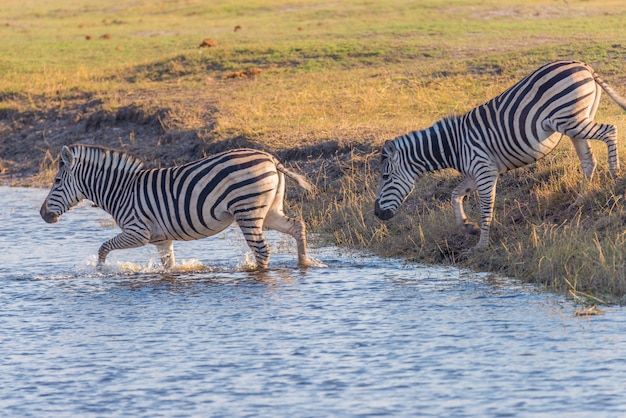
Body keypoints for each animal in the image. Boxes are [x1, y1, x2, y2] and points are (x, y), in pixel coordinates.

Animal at [39, 145, 314, 270]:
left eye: (57, 181)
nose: (42, 215)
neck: (121, 191)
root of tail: (271, 159)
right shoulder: (161, 239)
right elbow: (168, 266)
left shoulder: (138, 232)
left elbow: (102, 248)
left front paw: (100, 271)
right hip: (269, 212)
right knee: (297, 226)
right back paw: (305, 263)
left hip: (248, 210)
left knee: (262, 249)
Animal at [372, 59, 624, 248]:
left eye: (385, 177)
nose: (376, 213)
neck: (454, 145)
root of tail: (583, 65)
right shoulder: (478, 172)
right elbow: (455, 194)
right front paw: (468, 226)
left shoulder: (484, 171)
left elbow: (485, 209)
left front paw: (481, 245)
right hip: (576, 121)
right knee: (588, 160)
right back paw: (579, 201)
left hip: (569, 120)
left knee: (610, 130)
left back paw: (614, 174)